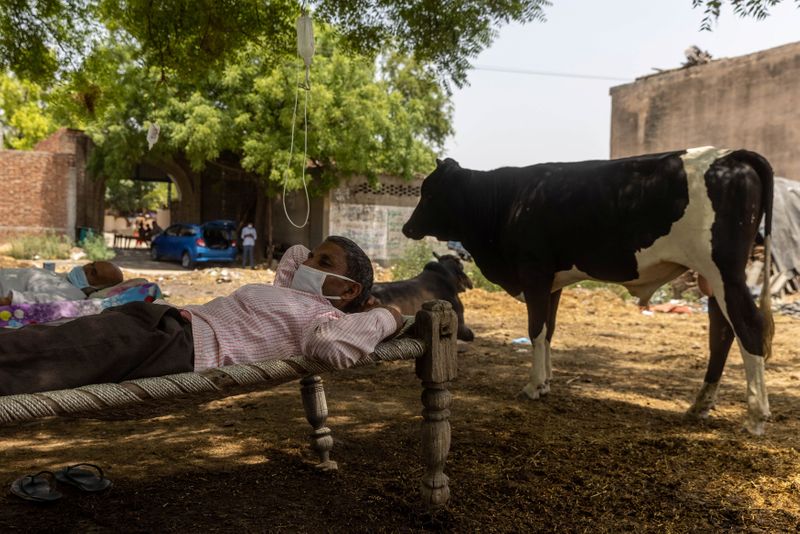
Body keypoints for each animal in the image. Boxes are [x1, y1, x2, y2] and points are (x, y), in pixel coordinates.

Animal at [406, 147, 776, 436]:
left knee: (749, 328)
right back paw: (700, 406)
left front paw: (534, 386)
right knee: (722, 333)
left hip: (724, 271)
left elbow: (536, 330)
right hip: (713, 279)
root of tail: (730, 155)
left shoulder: (534, 273)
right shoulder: (552, 282)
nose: (407, 227)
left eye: (430, 191)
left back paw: (756, 417)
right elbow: (549, 331)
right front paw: (547, 382)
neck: (509, 201)